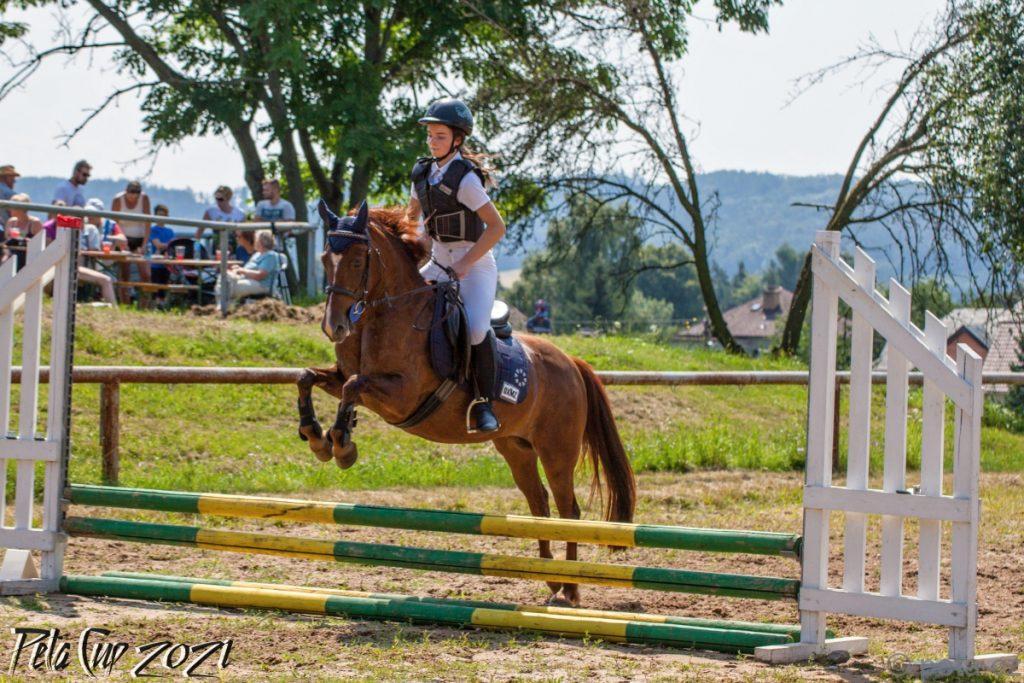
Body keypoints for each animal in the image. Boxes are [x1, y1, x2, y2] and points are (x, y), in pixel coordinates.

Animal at [296, 202, 636, 606]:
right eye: (324, 258)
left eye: (358, 259)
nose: (334, 327)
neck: (388, 313)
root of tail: (572, 362)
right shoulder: (343, 376)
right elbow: (308, 377)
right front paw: (315, 435)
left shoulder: (403, 395)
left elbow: (353, 386)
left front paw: (341, 442)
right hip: (516, 447)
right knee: (538, 503)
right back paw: (550, 579)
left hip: (557, 450)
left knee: (568, 509)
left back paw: (569, 588)